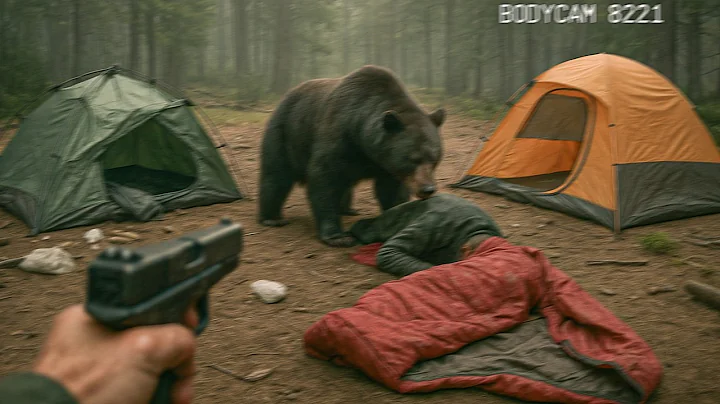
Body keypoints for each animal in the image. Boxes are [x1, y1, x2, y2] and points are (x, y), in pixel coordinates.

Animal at [258, 65, 446, 247]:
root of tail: (288, 94)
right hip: (285, 131)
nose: (427, 189)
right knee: (276, 174)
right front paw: (338, 236)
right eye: (413, 159)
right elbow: (325, 179)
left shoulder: (384, 164)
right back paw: (272, 218)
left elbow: (390, 190)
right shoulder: (339, 135)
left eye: (434, 159)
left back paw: (348, 209)